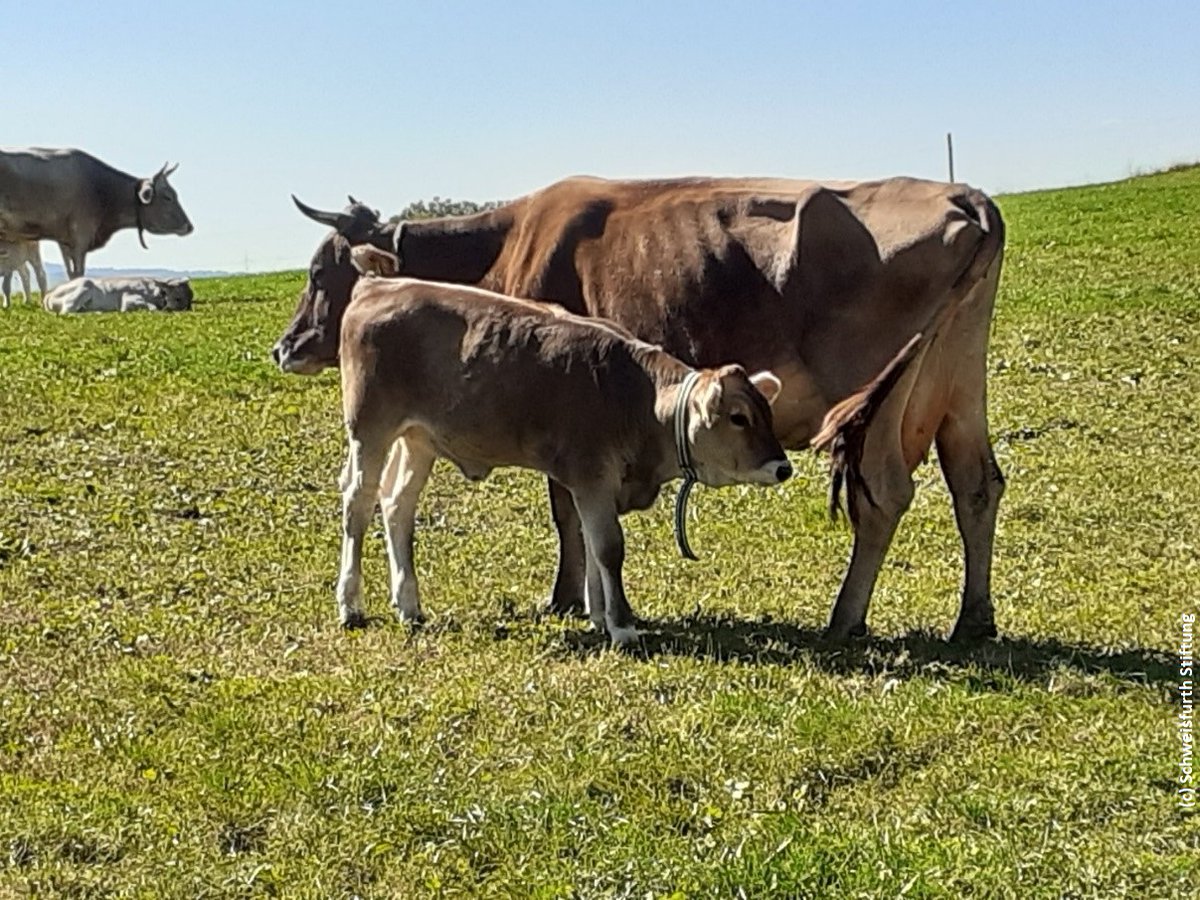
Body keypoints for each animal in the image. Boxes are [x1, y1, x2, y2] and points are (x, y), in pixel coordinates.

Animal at [0, 147, 194, 278]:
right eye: (168, 197)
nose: (189, 226)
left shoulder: (64, 239)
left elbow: (71, 272)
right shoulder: (81, 235)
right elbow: (79, 271)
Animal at [43, 276, 193, 314]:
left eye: (191, 298)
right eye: (178, 298)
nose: (188, 308)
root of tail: (48, 294)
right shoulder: (127, 298)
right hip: (83, 287)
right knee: (66, 311)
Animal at [274, 174, 1006, 642]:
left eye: (318, 273)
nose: (285, 348)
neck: (506, 247)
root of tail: (964, 197)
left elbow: (568, 516)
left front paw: (571, 599)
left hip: (883, 408)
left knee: (882, 496)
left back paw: (845, 617)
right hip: (957, 391)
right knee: (976, 486)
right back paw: (973, 619)